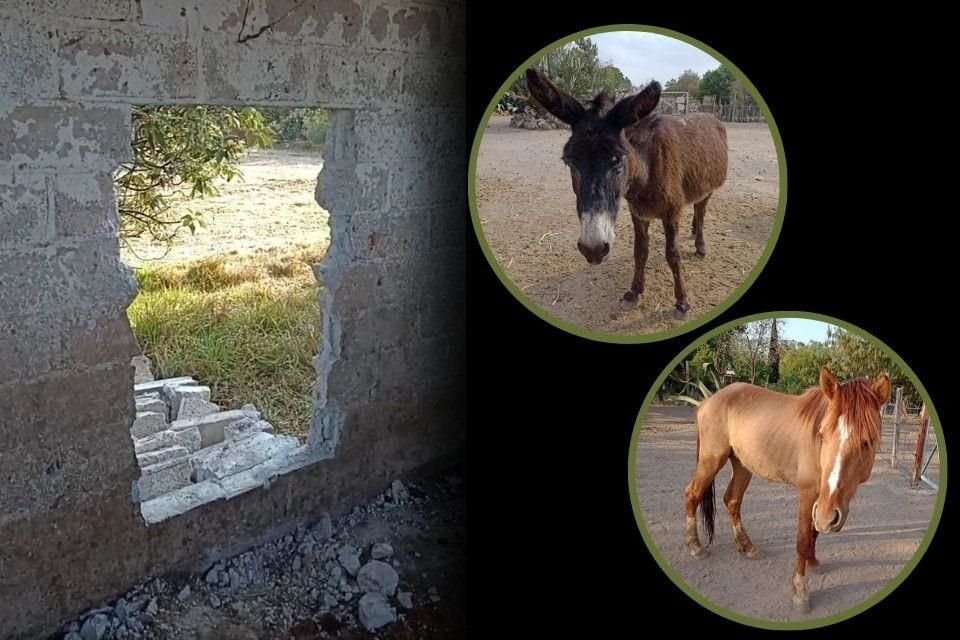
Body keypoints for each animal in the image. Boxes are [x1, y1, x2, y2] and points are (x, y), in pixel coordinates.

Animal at [524, 69, 728, 318]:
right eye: (569, 162)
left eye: (619, 161)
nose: (593, 249)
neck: (646, 173)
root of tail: (711, 116)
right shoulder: (638, 213)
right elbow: (640, 251)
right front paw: (634, 292)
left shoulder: (671, 213)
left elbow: (673, 255)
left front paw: (682, 302)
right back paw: (692, 231)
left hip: (708, 189)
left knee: (701, 210)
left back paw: (700, 245)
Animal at [684, 364, 892, 608]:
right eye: (823, 434)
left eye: (867, 441)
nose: (829, 516)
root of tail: (709, 400)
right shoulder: (810, 494)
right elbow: (802, 539)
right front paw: (800, 591)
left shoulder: (822, 501)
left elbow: (814, 532)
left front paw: (813, 562)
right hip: (712, 460)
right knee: (692, 494)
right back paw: (695, 547)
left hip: (742, 464)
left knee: (732, 500)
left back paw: (747, 547)